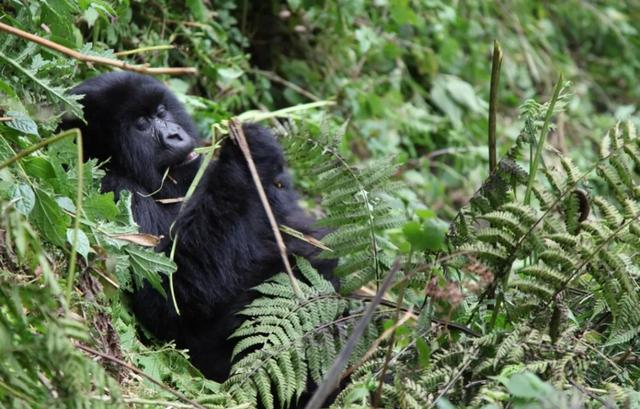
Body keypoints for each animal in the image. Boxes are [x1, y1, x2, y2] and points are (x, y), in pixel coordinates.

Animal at [62, 71, 338, 380]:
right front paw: (249, 156)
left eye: (161, 111)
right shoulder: (114, 191)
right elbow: (178, 295)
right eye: (142, 125)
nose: (174, 134)